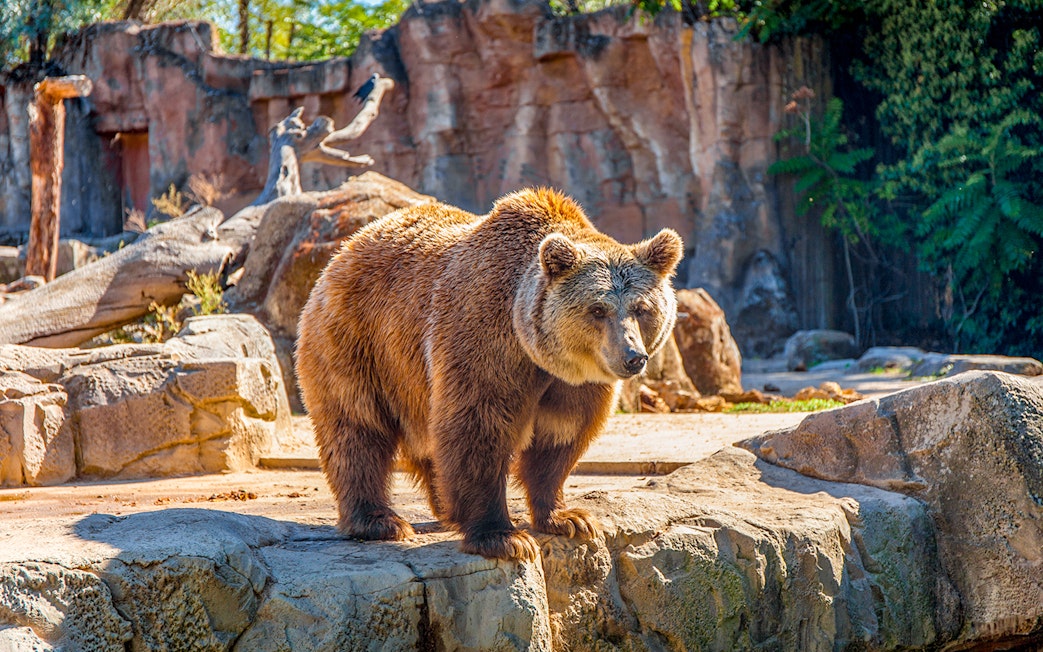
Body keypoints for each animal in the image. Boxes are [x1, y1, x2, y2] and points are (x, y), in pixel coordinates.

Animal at [296, 188, 683, 561]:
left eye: (641, 307)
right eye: (598, 309)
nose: (633, 357)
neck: (537, 351)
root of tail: (347, 247)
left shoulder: (576, 384)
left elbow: (560, 437)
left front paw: (569, 518)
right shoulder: (486, 342)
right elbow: (479, 427)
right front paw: (503, 537)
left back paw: (443, 506)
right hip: (359, 342)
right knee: (357, 427)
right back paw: (380, 520)